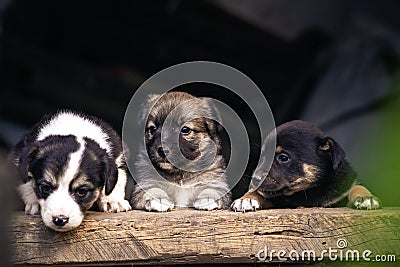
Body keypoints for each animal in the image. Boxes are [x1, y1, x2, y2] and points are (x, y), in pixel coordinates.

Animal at [231, 121, 382, 211]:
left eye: (284, 158)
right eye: (262, 158)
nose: (254, 180)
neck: (307, 192)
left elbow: (357, 186)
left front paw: (366, 198)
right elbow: (259, 192)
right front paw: (246, 199)